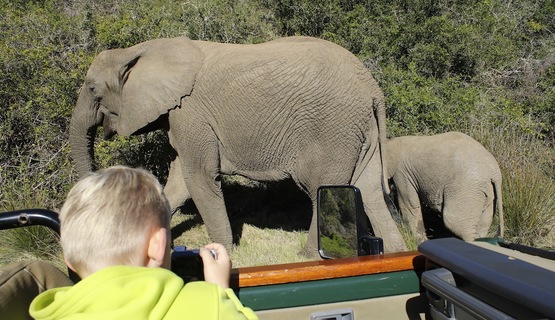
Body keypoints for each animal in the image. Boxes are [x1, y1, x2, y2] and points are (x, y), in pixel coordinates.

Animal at [69, 35, 408, 255]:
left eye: (92, 89)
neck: (139, 50)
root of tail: (373, 88)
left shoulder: (190, 113)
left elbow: (199, 176)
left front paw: (222, 254)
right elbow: (179, 181)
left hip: (331, 129)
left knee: (324, 191)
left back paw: (308, 258)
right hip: (360, 132)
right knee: (370, 192)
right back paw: (393, 255)